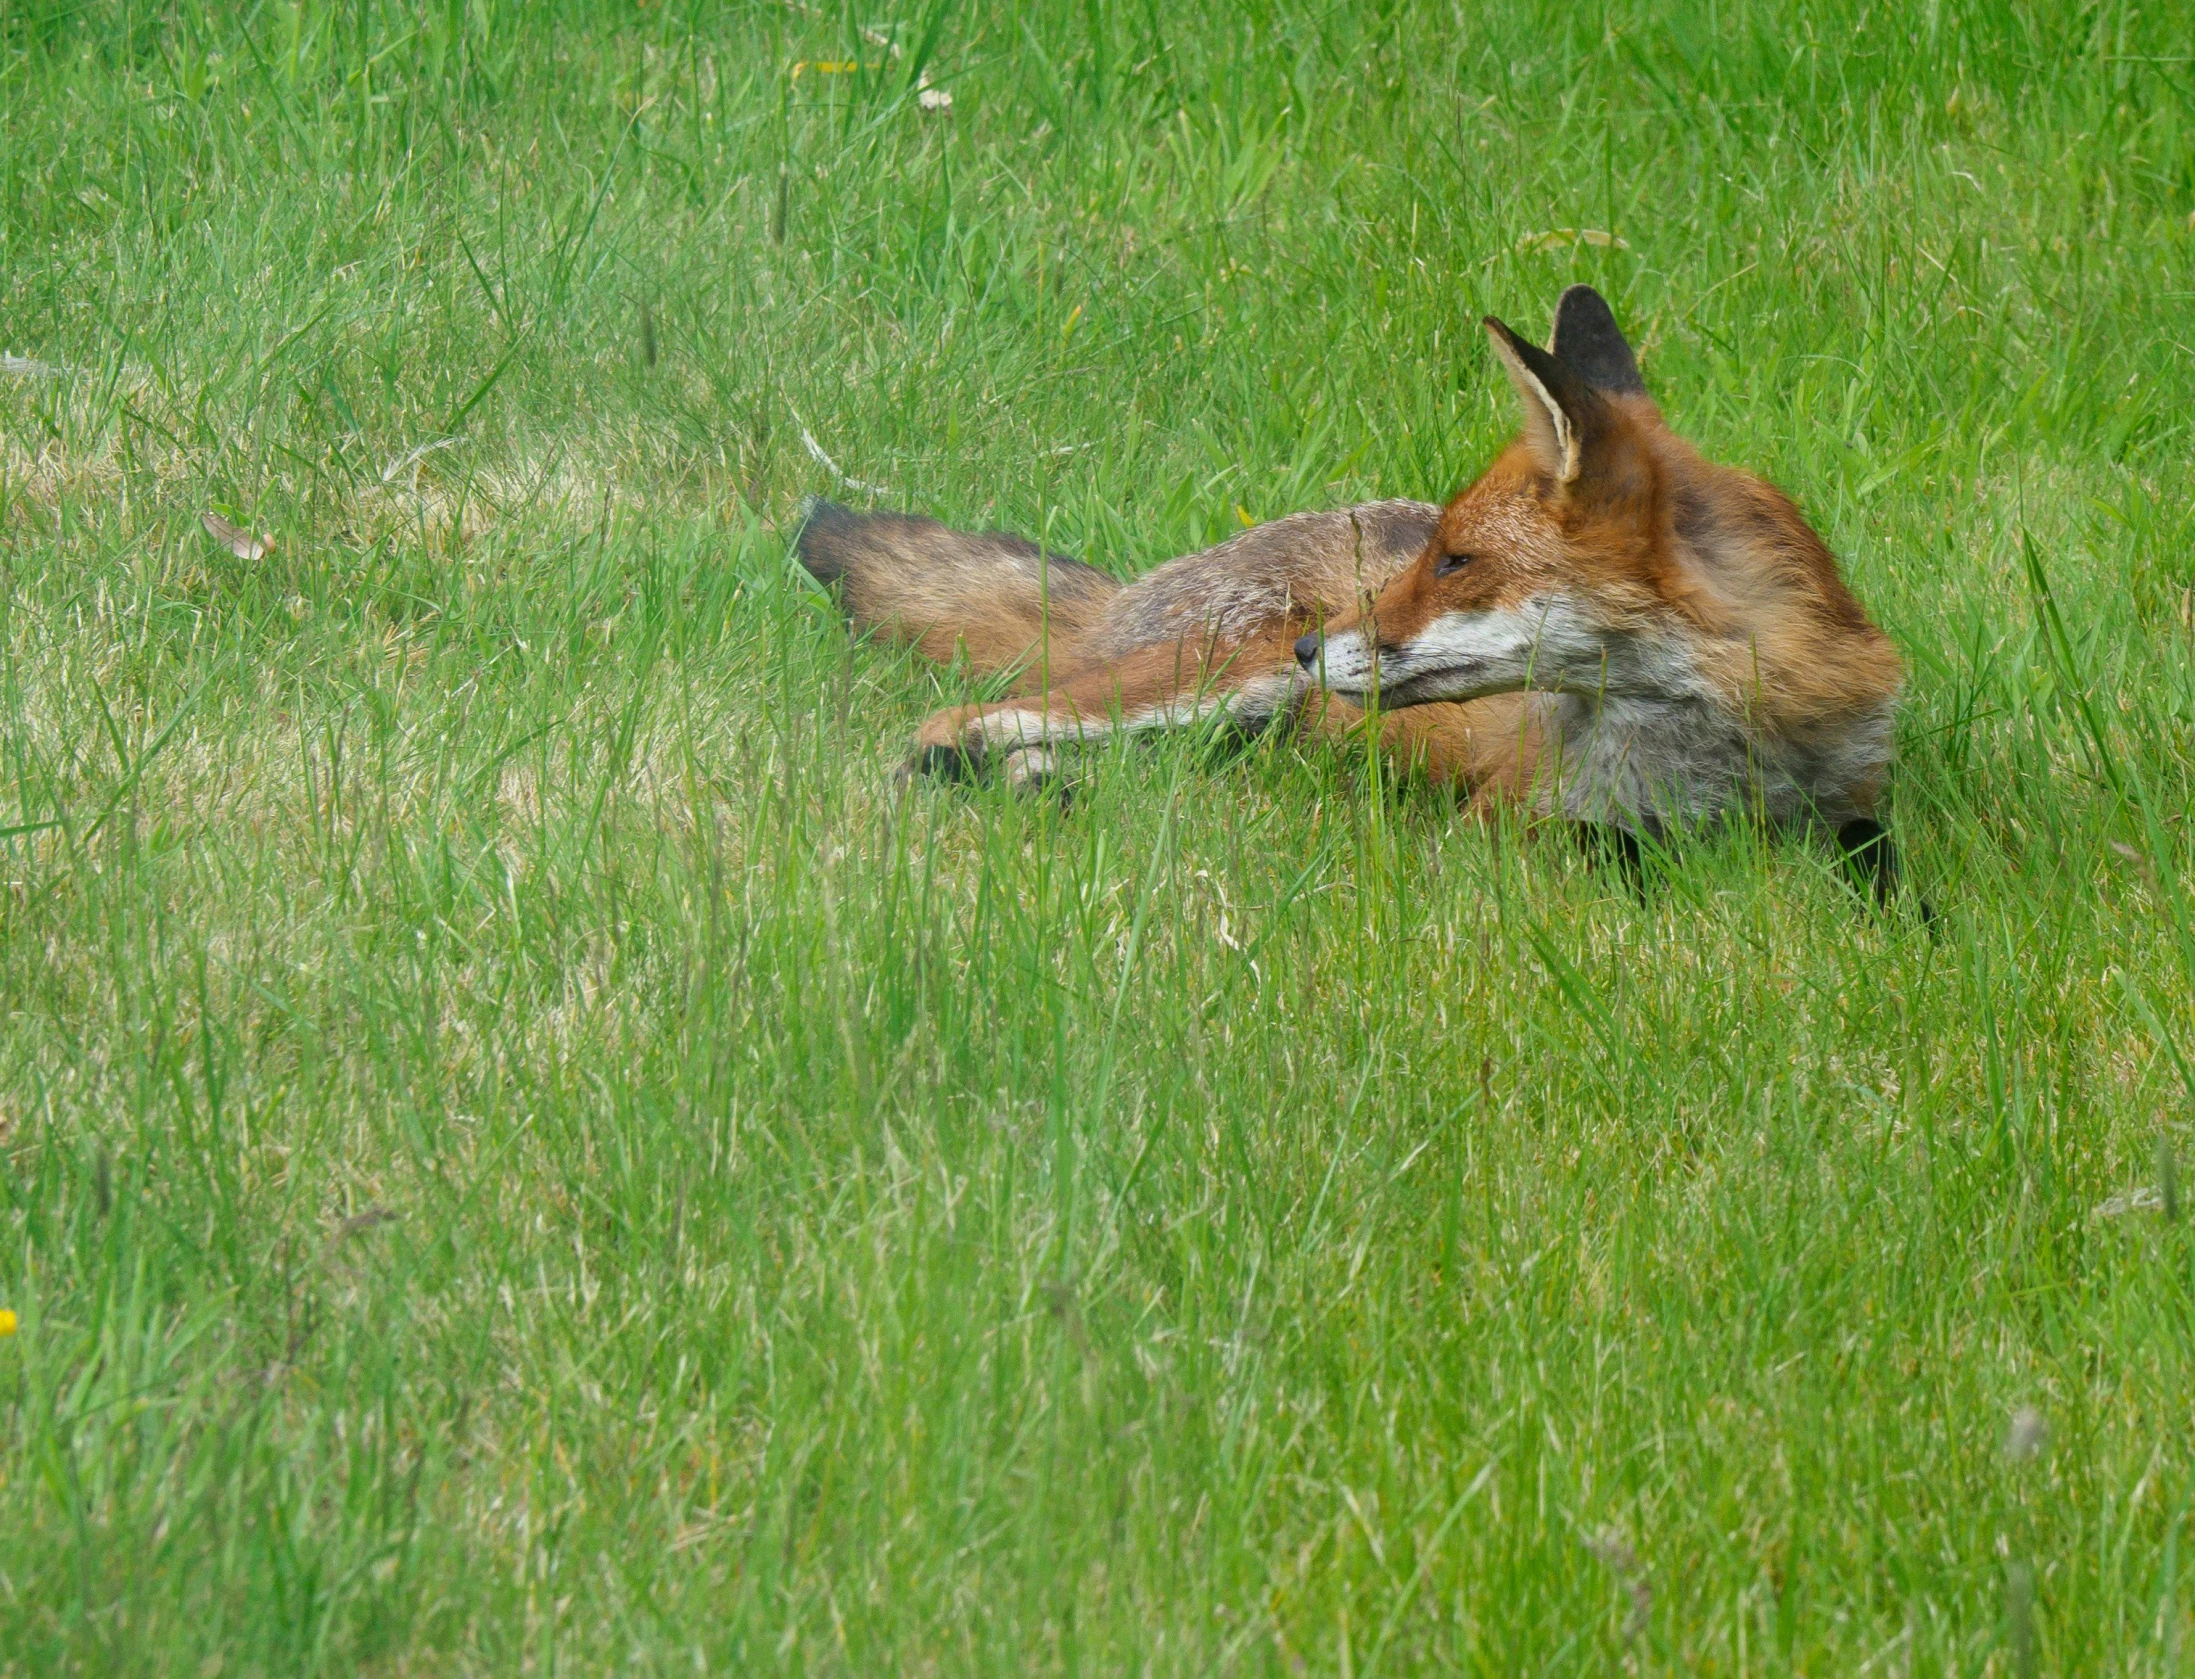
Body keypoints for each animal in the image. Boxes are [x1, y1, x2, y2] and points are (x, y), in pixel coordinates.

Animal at [798, 285, 1914, 904]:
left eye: (1454, 561)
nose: (1312, 647)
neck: (1720, 744)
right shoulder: (1507, 825)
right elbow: (1615, 857)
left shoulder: (1852, 809)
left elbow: (1884, 881)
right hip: (1203, 687)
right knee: (956, 723)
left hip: (1225, 726)